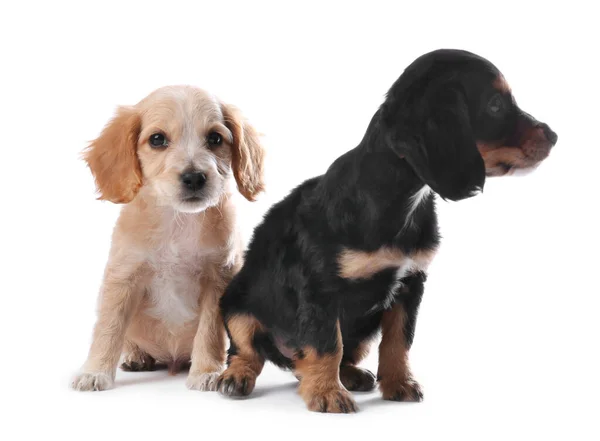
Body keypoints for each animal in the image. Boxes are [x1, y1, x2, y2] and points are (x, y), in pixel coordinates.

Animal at [216, 50, 556, 412]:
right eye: (494, 105)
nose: (554, 135)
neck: (400, 197)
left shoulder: (410, 284)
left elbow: (398, 342)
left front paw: (398, 384)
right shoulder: (320, 288)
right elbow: (326, 343)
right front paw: (327, 393)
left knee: (324, 359)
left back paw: (349, 376)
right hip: (237, 303)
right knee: (248, 349)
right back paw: (237, 377)